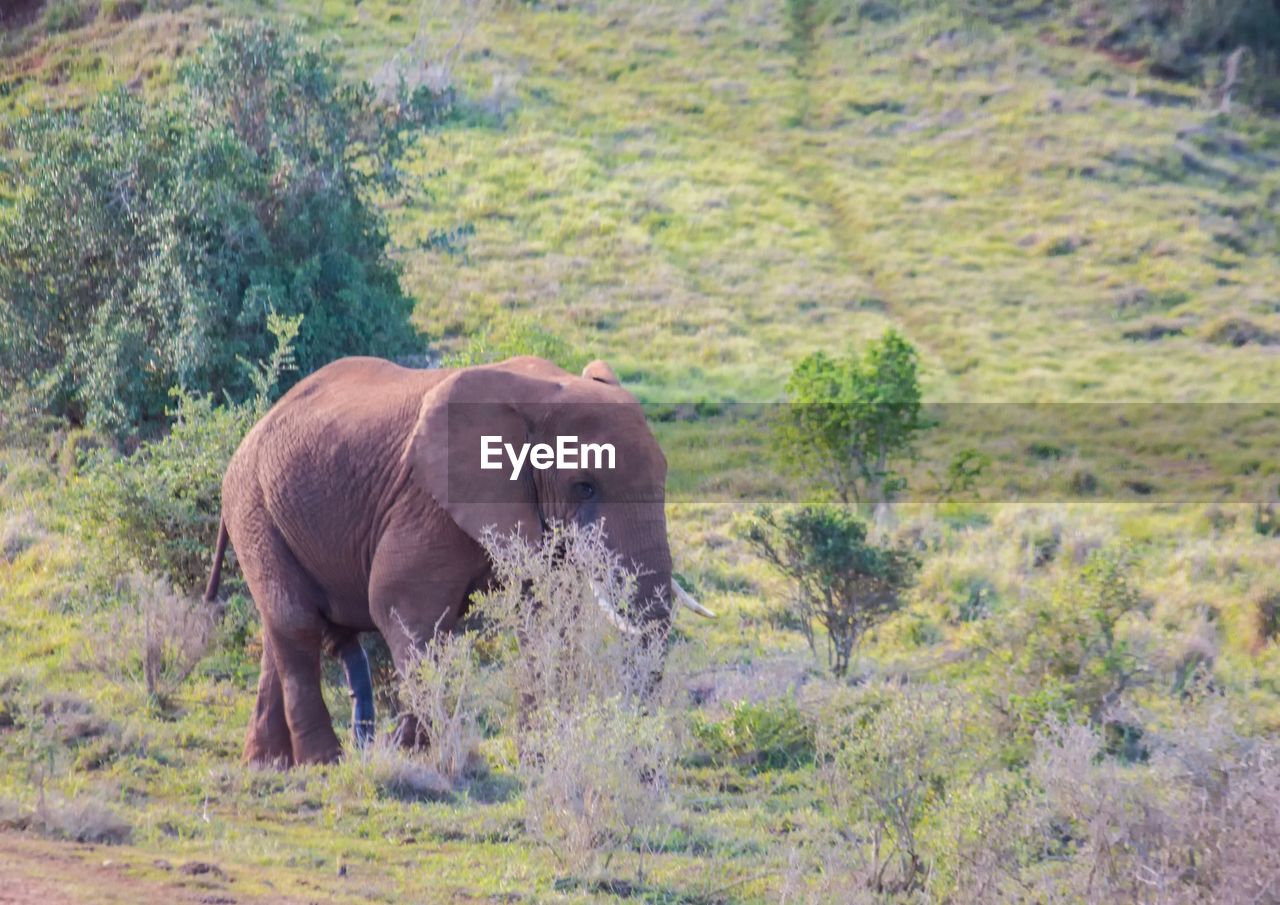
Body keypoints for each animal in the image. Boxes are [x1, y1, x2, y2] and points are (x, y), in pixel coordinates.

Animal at [204, 353, 716, 762]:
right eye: (584, 486)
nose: (639, 753)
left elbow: (548, 621)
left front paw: (538, 757)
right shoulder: (426, 501)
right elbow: (402, 606)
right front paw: (414, 754)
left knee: (280, 633)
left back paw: (268, 765)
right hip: (253, 504)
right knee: (297, 624)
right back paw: (322, 762)